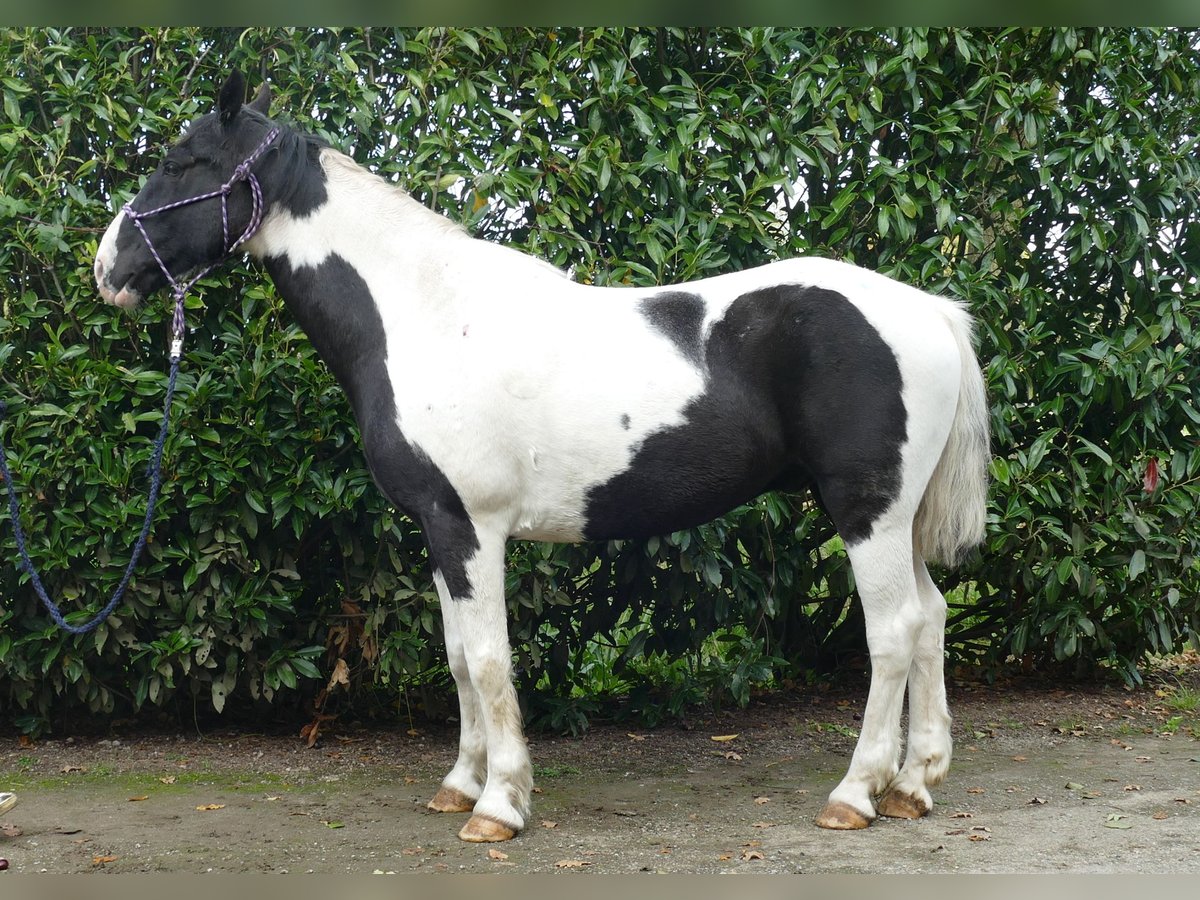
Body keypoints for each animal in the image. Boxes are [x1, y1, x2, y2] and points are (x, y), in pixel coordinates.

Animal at [93, 72, 988, 844]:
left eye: (183, 162)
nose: (108, 268)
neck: (423, 314)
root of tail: (930, 311)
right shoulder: (439, 530)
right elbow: (458, 657)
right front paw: (460, 783)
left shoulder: (470, 526)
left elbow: (490, 661)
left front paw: (499, 805)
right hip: (898, 519)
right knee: (934, 617)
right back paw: (913, 785)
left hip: (867, 511)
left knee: (894, 632)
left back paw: (856, 794)